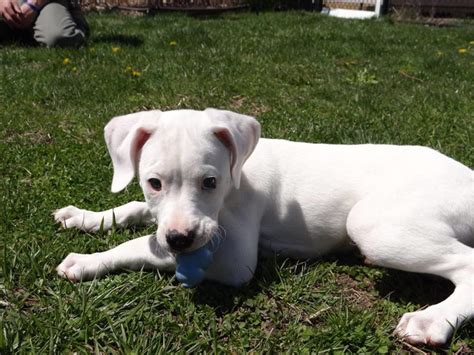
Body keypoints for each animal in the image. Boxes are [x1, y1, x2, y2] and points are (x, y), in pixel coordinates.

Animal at [53, 108, 472, 348]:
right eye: (153, 182)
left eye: (210, 182)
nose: (180, 239)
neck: (238, 168)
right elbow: (133, 210)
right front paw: (86, 217)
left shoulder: (234, 260)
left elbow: (142, 246)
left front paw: (87, 261)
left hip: (374, 224)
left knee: (467, 264)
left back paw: (432, 320)